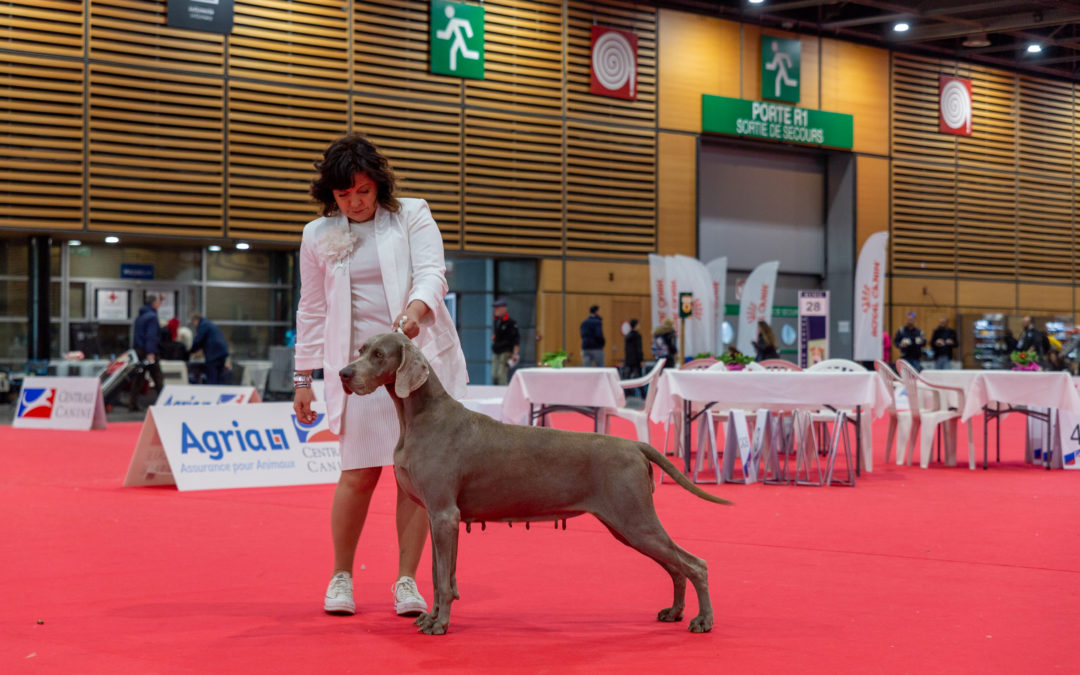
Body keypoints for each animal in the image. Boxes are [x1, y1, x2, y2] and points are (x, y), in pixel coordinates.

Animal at [341, 332, 730, 630]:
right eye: (360, 349)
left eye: (379, 354)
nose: (344, 373)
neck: (419, 417)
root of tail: (634, 444)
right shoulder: (439, 519)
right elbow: (441, 576)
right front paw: (432, 618)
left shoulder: (444, 515)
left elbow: (442, 581)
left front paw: (440, 625)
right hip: (626, 525)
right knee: (676, 567)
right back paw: (675, 612)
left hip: (635, 520)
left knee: (695, 564)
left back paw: (703, 621)